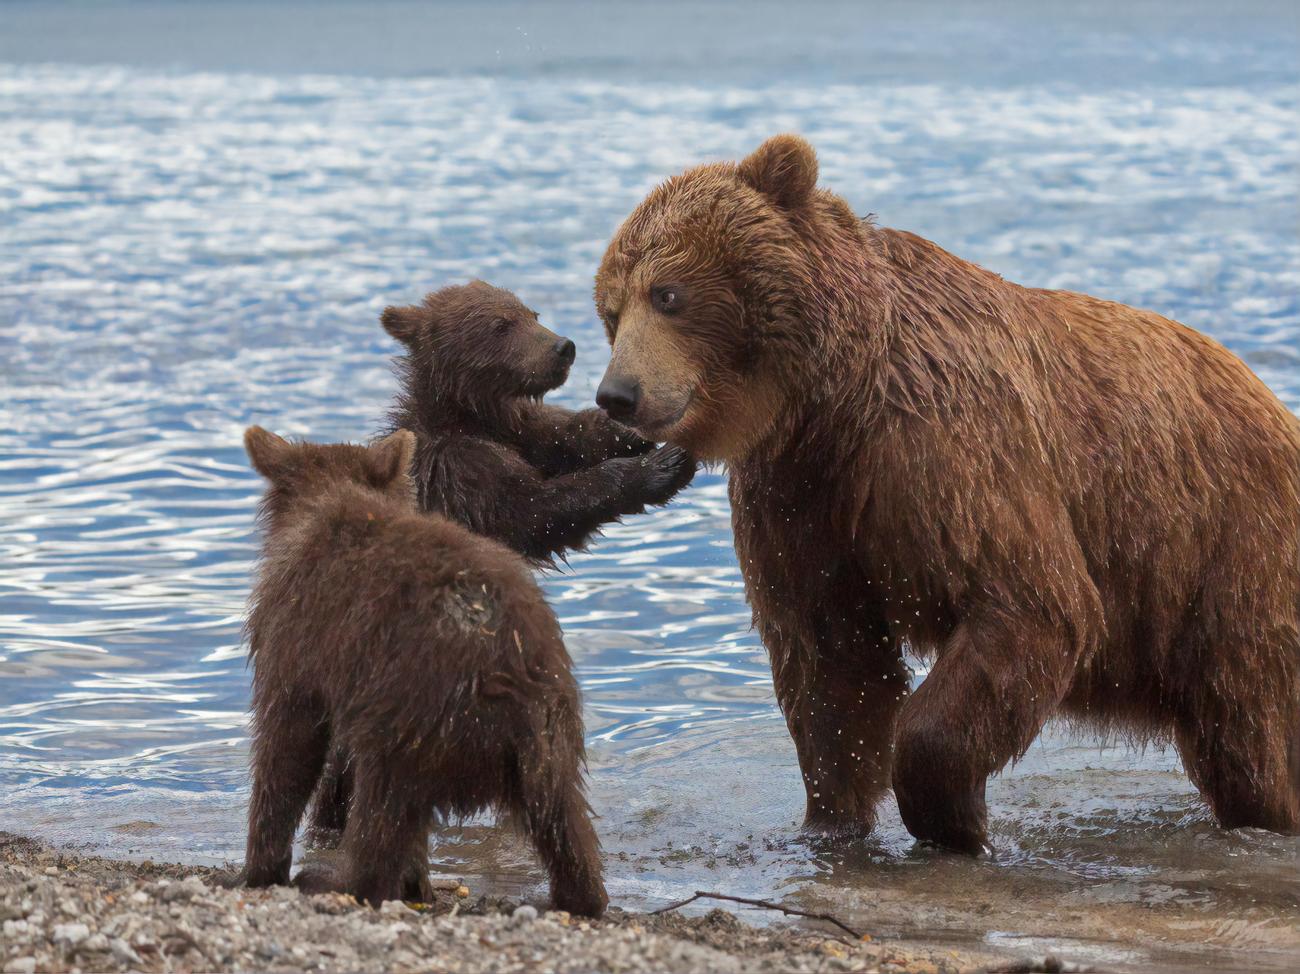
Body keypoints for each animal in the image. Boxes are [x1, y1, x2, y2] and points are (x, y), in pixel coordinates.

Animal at [243, 426, 603, 910]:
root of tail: (502, 672)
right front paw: (416, 880)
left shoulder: (296, 634)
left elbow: (286, 744)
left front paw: (260, 866)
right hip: (550, 727)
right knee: (565, 821)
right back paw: (581, 894)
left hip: (411, 709)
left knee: (380, 806)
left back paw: (336, 879)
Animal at [592, 134, 1300, 853]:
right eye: (611, 310)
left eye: (667, 293)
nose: (617, 394)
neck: (836, 394)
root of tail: (1276, 408)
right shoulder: (799, 491)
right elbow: (831, 658)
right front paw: (833, 818)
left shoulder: (946, 446)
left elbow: (1031, 604)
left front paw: (952, 816)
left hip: (1229, 545)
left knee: (1245, 723)